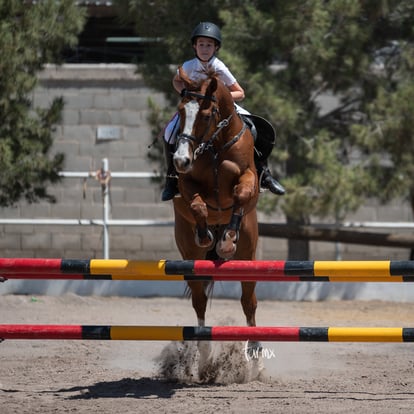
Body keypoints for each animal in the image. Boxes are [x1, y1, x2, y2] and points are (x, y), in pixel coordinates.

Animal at [171, 68, 258, 334]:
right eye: (180, 111)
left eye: (206, 115)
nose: (180, 160)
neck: (215, 145)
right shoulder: (186, 183)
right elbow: (197, 205)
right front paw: (204, 235)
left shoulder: (249, 176)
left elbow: (241, 194)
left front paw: (227, 241)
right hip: (190, 257)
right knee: (199, 301)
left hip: (248, 255)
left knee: (248, 303)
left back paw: (254, 344)